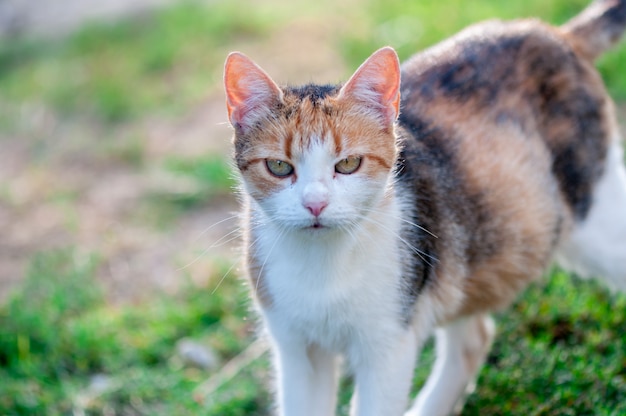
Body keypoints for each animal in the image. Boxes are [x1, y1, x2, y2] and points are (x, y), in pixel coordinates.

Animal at [222, 1, 624, 414]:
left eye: (348, 164)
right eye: (279, 166)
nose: (315, 204)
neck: (322, 268)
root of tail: (553, 34)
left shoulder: (388, 345)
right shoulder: (297, 349)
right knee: (474, 336)